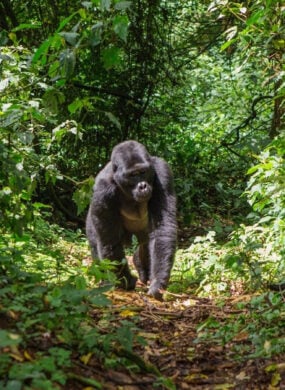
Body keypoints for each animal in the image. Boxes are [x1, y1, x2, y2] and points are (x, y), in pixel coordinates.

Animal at [85, 139, 176, 298]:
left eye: (143, 172)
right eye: (133, 175)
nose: (143, 186)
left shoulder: (162, 171)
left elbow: (163, 228)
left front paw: (157, 282)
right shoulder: (102, 190)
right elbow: (110, 241)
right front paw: (126, 281)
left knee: (145, 243)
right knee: (96, 242)